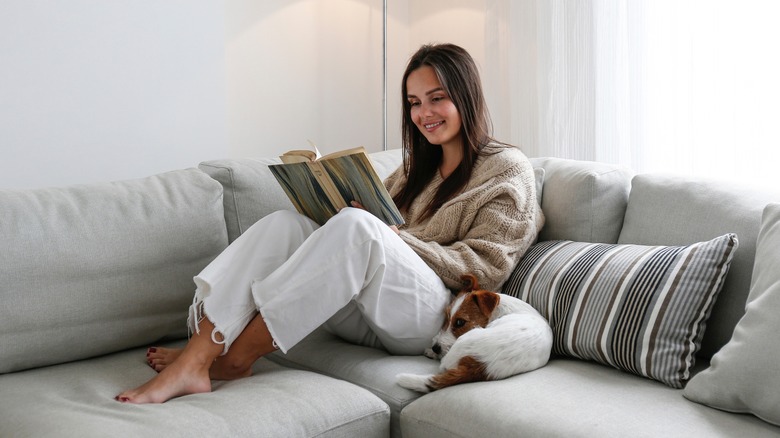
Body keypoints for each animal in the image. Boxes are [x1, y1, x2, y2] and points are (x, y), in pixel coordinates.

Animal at [396, 274, 556, 394]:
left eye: (459, 322)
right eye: (446, 318)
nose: (435, 347)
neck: (501, 310)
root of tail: (479, 364)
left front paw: (432, 351)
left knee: (443, 365)